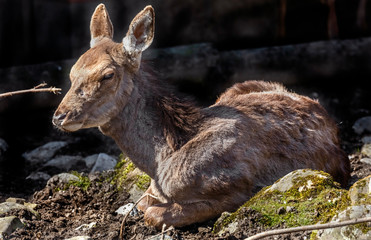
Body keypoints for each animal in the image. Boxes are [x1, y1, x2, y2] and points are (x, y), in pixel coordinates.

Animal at [53, 3, 352, 229]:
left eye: (107, 75)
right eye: (72, 71)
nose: (59, 116)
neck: (160, 163)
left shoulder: (237, 189)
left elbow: (154, 214)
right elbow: (143, 203)